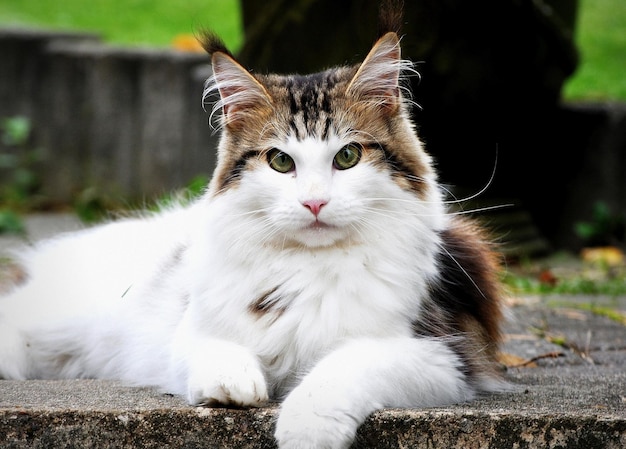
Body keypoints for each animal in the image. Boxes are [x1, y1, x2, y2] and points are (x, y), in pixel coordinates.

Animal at [0, 28, 502, 448]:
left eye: (348, 157)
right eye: (280, 162)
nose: (314, 203)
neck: (310, 266)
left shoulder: (443, 353)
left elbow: (345, 364)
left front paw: (306, 427)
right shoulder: (191, 330)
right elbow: (218, 349)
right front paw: (234, 385)